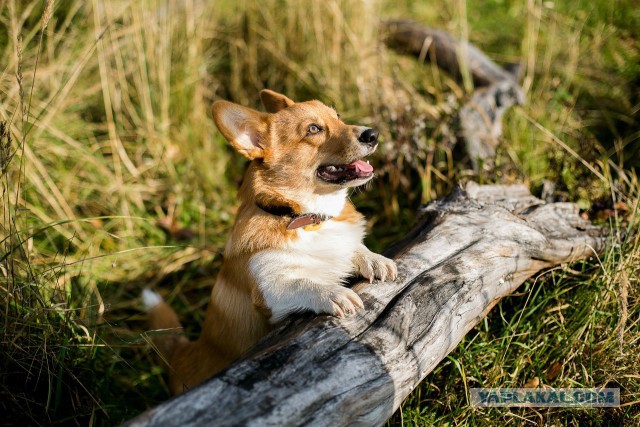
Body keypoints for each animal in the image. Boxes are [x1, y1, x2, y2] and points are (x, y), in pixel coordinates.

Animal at [144, 89, 396, 394]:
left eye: (337, 116)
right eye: (313, 129)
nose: (373, 134)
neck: (304, 217)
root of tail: (181, 355)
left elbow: (353, 248)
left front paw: (375, 259)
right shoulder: (269, 292)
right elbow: (303, 282)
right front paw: (332, 292)